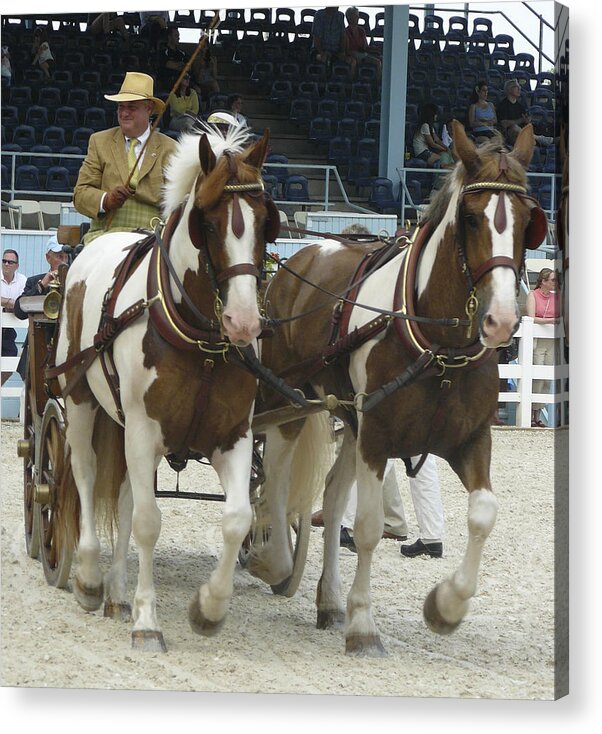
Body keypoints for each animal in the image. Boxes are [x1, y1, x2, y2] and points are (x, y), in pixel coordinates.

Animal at [54, 123, 278, 652]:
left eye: (266, 222)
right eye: (208, 224)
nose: (243, 323)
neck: (203, 342)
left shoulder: (232, 436)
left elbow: (236, 519)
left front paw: (208, 610)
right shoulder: (142, 430)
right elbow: (148, 522)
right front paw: (147, 621)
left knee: (123, 494)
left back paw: (116, 593)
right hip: (81, 402)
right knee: (87, 474)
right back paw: (90, 580)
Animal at [248, 123, 544, 660]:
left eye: (528, 220)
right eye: (472, 218)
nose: (502, 320)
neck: (439, 347)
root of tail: (302, 255)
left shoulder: (468, 439)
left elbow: (483, 514)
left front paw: (446, 606)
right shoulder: (379, 436)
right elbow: (366, 529)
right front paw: (364, 626)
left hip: (348, 415)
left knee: (331, 495)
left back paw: (328, 600)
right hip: (288, 397)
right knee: (276, 477)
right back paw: (273, 558)